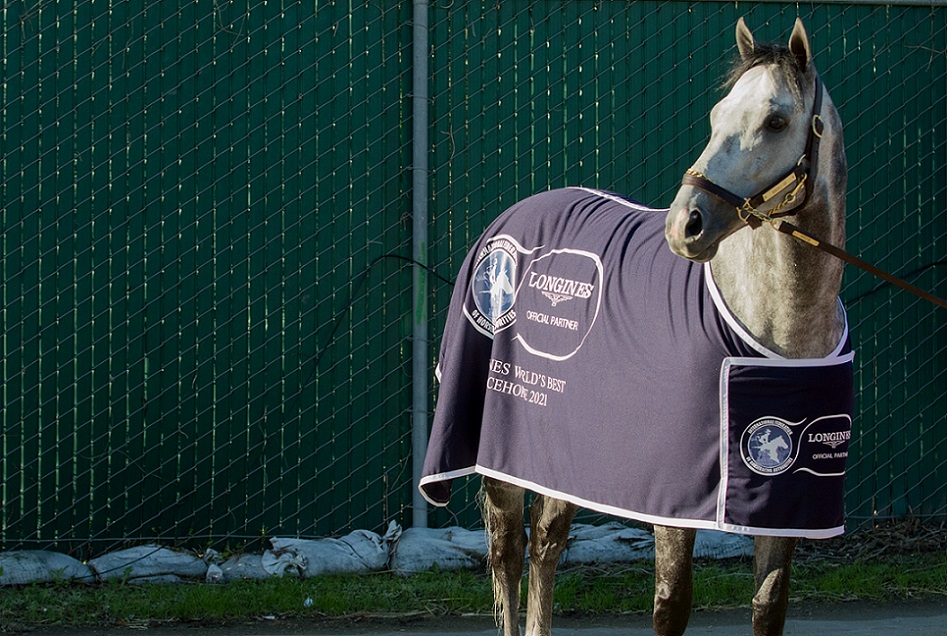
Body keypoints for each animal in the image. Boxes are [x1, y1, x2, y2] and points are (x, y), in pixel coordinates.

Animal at [420, 18, 850, 636]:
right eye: (718, 114)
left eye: (776, 121)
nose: (684, 223)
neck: (776, 331)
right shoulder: (674, 496)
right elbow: (672, 604)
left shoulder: (784, 497)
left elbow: (769, 606)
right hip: (497, 446)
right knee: (508, 551)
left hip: (559, 453)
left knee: (546, 543)